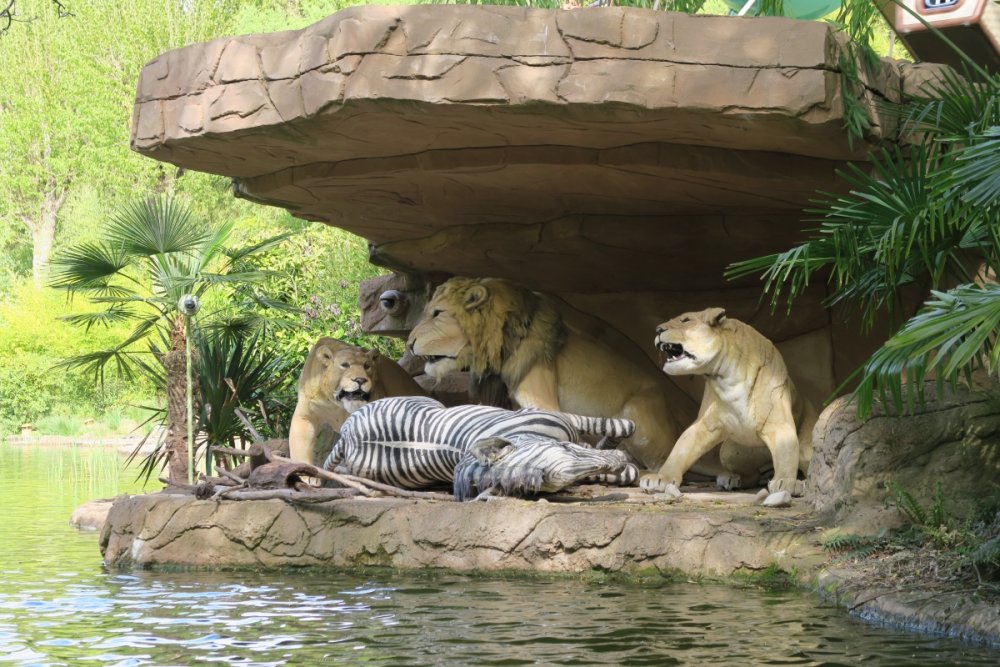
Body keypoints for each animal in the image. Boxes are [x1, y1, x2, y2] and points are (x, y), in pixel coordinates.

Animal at [640, 307, 816, 503]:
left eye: (686, 320)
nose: (657, 330)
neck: (727, 374)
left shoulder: (779, 424)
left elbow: (786, 451)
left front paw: (785, 482)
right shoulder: (705, 424)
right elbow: (681, 448)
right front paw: (660, 478)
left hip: (807, 447)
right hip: (729, 452)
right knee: (752, 475)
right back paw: (732, 479)